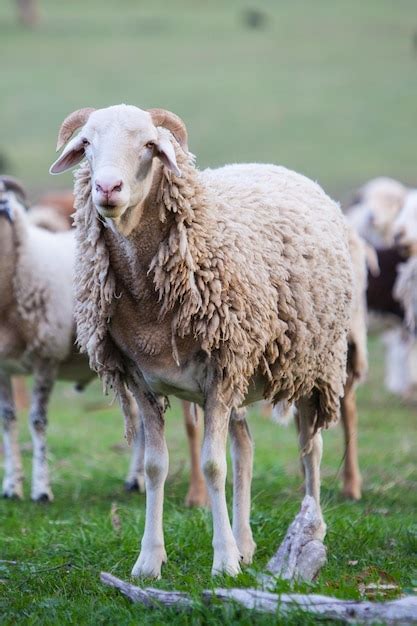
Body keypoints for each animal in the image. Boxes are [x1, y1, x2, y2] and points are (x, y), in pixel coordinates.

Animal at [50, 102, 352, 576]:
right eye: (86, 144)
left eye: (150, 145)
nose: (107, 188)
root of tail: (273, 166)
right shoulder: (144, 381)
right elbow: (155, 467)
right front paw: (149, 561)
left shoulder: (220, 376)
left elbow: (212, 466)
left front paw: (224, 562)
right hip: (246, 373)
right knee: (245, 448)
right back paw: (246, 542)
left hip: (314, 364)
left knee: (311, 448)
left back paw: (311, 530)